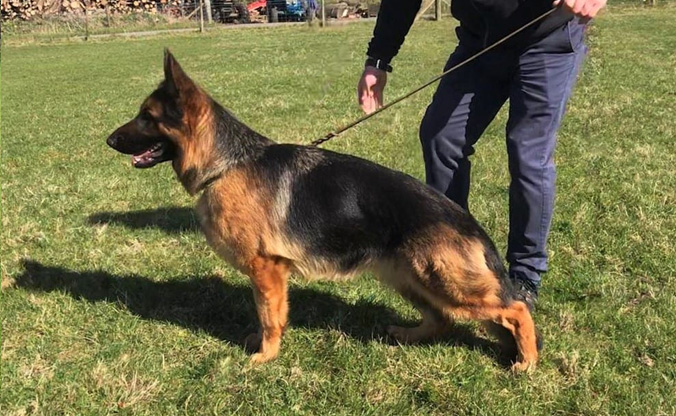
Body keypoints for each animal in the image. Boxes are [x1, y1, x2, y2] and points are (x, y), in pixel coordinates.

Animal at [106, 50, 540, 371]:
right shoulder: (269, 274)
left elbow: (269, 316)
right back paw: (409, 335)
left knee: (516, 308)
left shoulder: (267, 270)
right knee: (441, 319)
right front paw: (262, 346)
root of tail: (468, 222)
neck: (229, 163)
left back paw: (527, 361)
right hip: (409, 278)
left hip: (446, 282)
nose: (108, 140)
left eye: (147, 117)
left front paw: (265, 356)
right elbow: (268, 315)